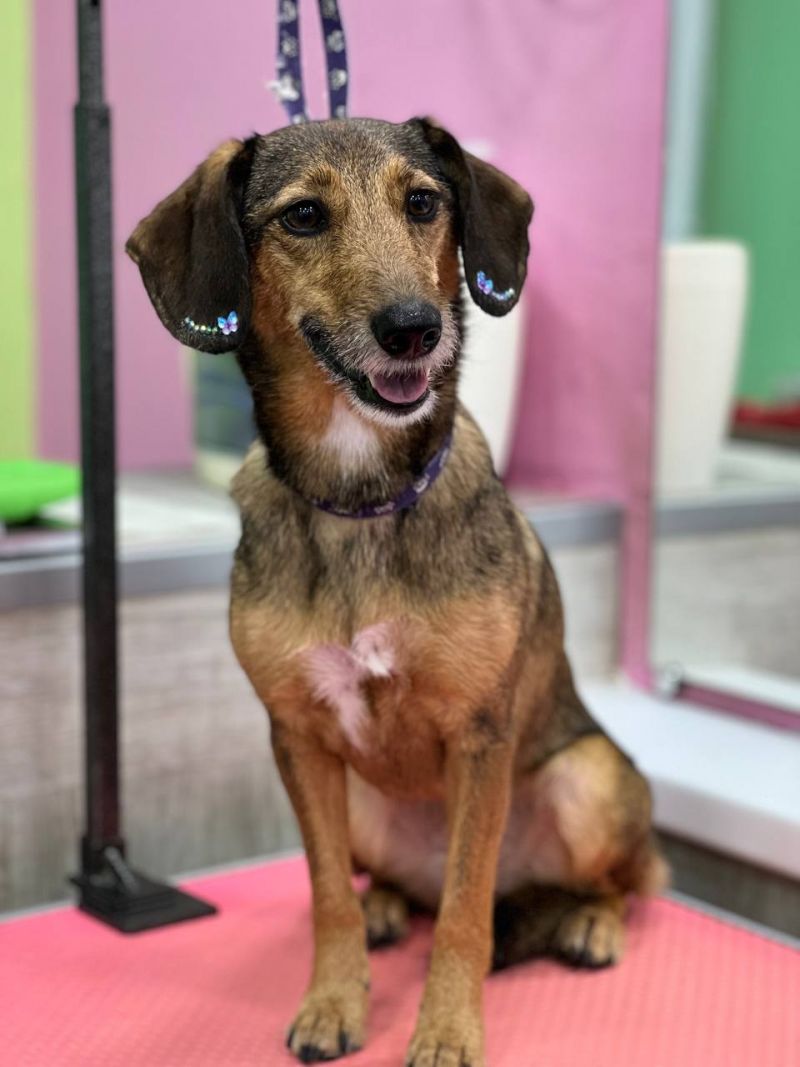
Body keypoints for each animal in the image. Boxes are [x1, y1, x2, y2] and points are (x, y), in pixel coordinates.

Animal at [128, 117, 666, 1067]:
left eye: (423, 202)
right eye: (303, 216)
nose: (415, 329)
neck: (360, 495)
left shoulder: (481, 738)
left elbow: (462, 912)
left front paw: (447, 1030)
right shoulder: (299, 738)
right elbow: (326, 896)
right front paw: (334, 1001)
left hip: (589, 779)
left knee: (623, 879)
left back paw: (591, 924)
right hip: (370, 809)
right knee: (391, 884)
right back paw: (386, 905)